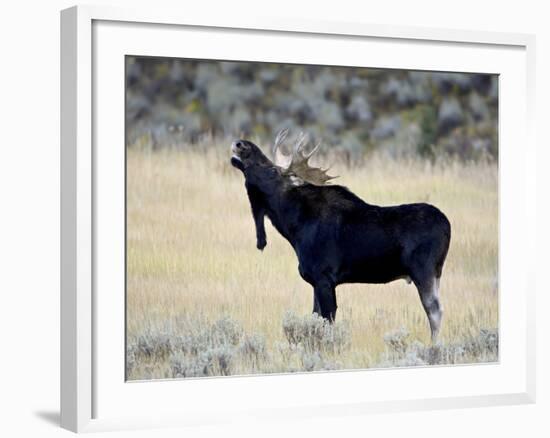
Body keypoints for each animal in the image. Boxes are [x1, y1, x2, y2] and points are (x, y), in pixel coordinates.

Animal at [231, 132, 450, 340]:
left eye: (272, 170)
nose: (241, 144)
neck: (294, 227)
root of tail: (447, 225)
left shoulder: (324, 277)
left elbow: (327, 320)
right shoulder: (316, 281)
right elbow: (316, 317)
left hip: (423, 270)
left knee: (435, 311)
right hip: (436, 274)